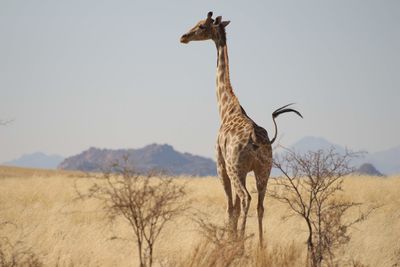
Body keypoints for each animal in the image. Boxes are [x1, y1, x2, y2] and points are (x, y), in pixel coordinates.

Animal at [180, 12, 302, 247]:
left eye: (201, 26)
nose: (183, 37)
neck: (226, 108)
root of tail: (256, 139)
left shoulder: (221, 165)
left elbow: (230, 207)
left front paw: (232, 243)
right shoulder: (245, 170)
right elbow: (236, 208)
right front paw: (234, 240)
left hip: (235, 169)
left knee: (246, 199)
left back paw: (244, 245)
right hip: (264, 170)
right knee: (260, 205)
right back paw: (261, 246)